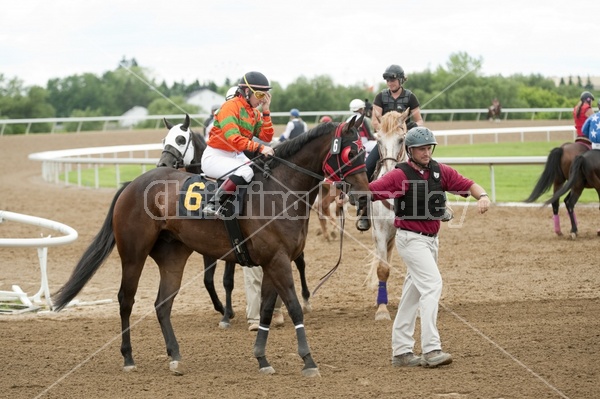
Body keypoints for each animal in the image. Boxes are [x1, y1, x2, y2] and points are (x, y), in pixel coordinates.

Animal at [157, 114, 312, 330]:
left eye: (180, 139)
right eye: (164, 140)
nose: (163, 165)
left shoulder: (234, 242)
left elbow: (227, 280)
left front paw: (226, 313)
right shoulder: (209, 245)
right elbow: (208, 280)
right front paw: (224, 311)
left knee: (301, 262)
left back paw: (304, 300)